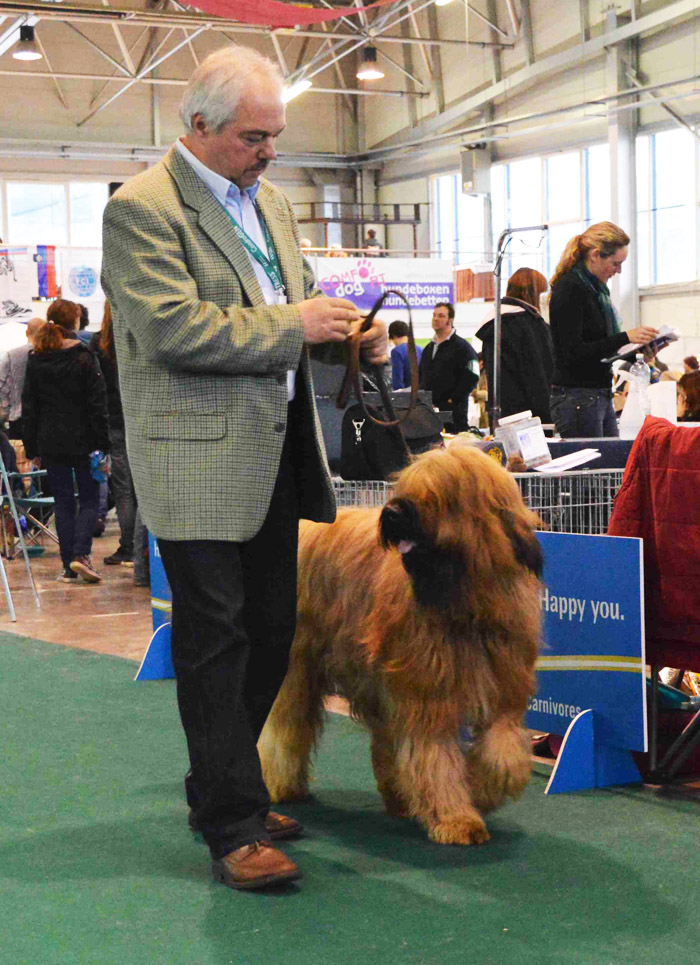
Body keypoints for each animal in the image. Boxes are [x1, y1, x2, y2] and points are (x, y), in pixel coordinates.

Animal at [260, 444, 544, 844]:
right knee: (285, 724)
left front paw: (481, 791)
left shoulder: (505, 685)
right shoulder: (425, 693)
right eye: (407, 486)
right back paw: (281, 785)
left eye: (440, 493)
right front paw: (456, 818)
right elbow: (434, 758)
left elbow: (503, 753)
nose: (393, 513)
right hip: (299, 666)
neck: (465, 602)